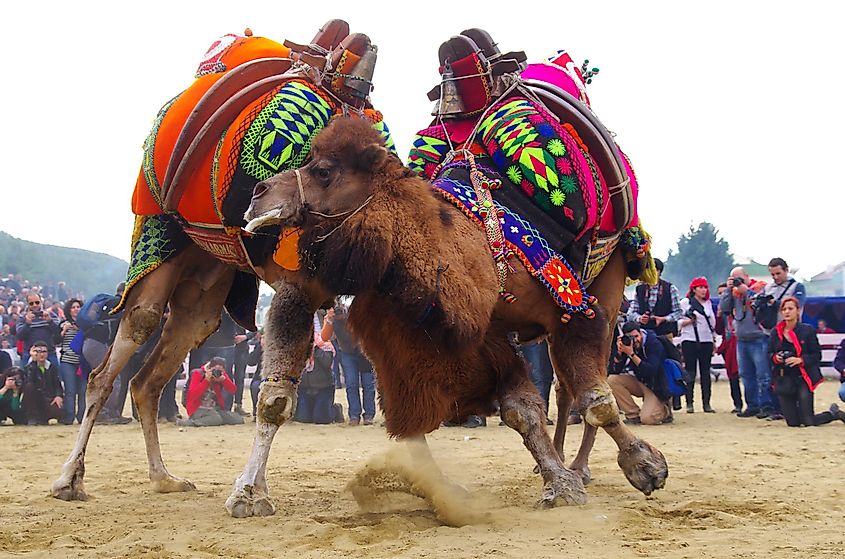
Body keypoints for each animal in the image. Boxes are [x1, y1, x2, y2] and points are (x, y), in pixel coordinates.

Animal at [49, 20, 385, 502]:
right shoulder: (296, 290)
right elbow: (275, 400)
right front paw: (249, 494)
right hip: (159, 240)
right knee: (114, 359)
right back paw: (68, 480)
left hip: (206, 286)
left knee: (148, 381)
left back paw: (164, 477)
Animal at [230, 116, 667, 517]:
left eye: (323, 171)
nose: (258, 193)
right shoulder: (479, 335)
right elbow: (519, 409)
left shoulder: (573, 306)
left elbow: (596, 399)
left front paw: (645, 467)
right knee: (562, 388)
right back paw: (564, 461)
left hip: (609, 284)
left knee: (581, 384)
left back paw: (581, 465)